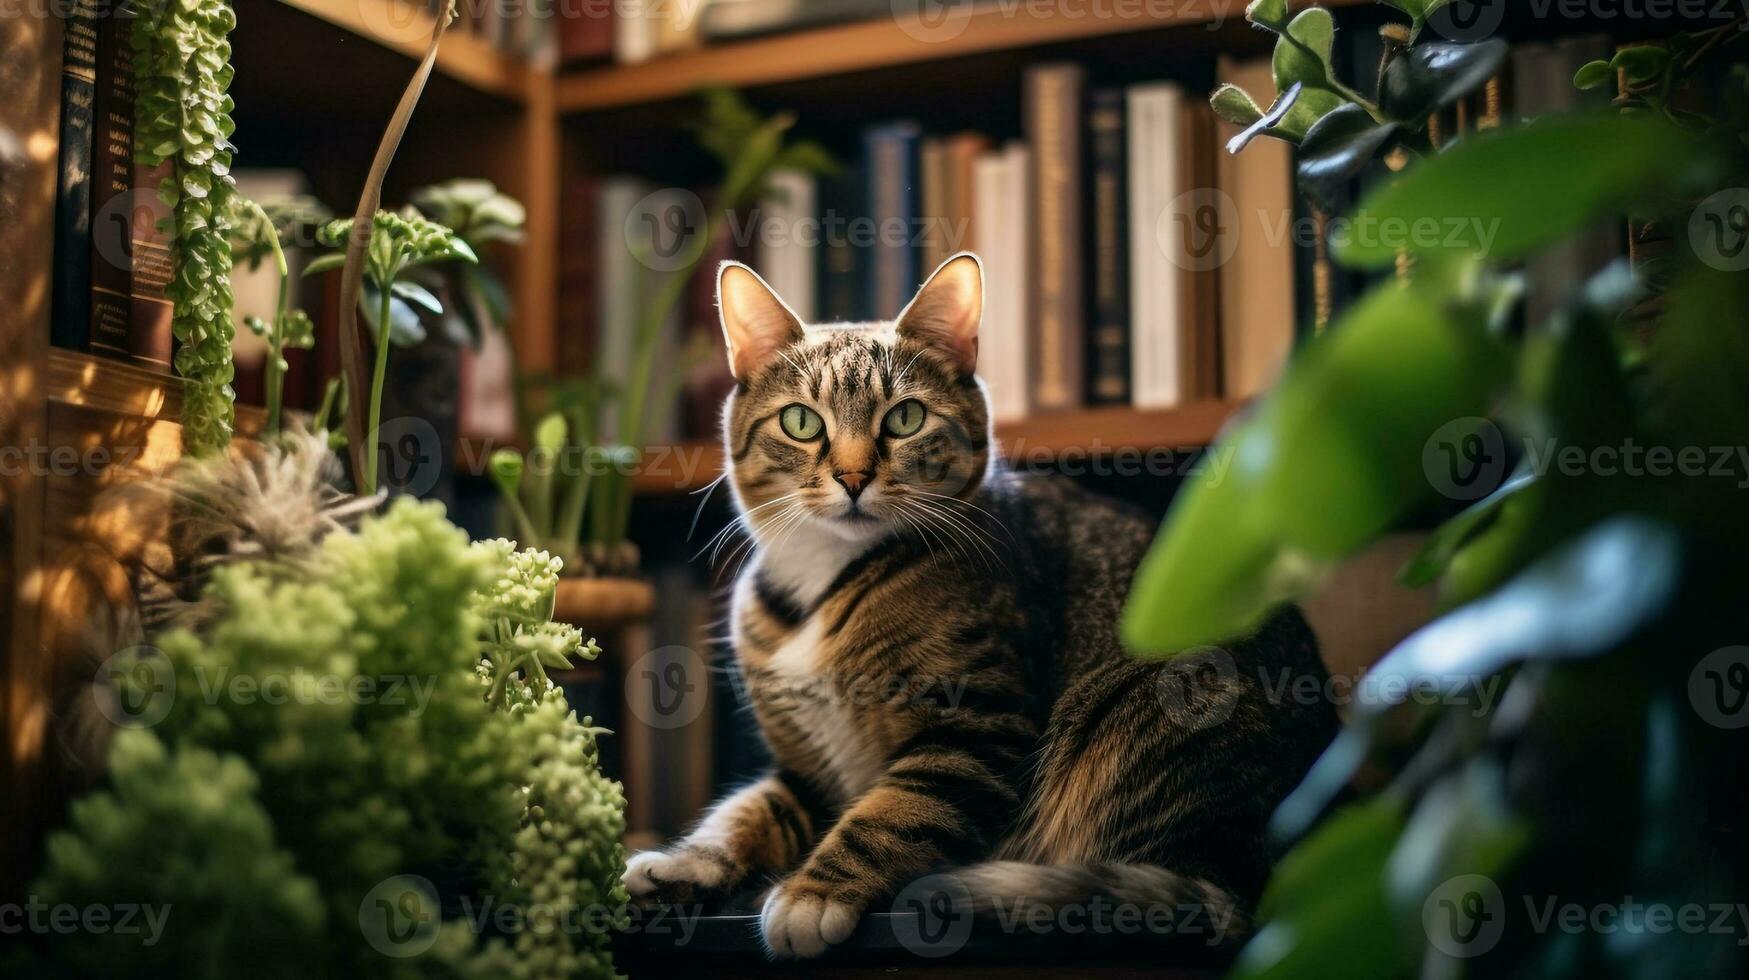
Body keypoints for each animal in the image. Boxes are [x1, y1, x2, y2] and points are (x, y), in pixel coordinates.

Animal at [622, 250, 1329, 959]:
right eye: (801, 422)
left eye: (905, 418)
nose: (852, 477)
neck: (824, 582)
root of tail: (1261, 882)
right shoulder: (806, 771)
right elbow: (748, 810)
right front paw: (681, 862)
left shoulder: (973, 725)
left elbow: (892, 813)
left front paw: (813, 896)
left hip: (1156, 715)